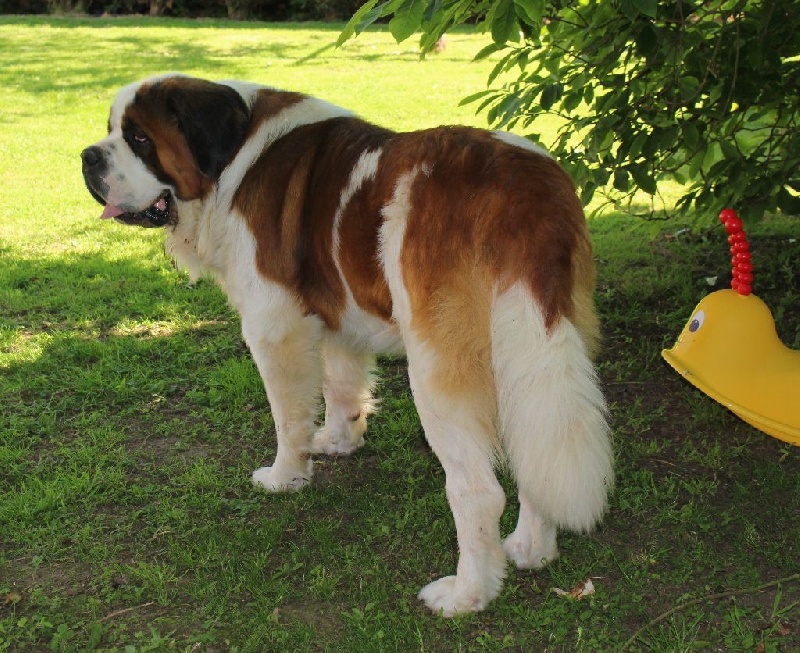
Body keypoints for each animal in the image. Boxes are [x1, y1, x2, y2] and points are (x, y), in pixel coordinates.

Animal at [81, 74, 613, 616]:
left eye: (139, 139)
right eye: (110, 130)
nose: (88, 156)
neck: (234, 160)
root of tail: (522, 189)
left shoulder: (273, 327)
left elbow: (288, 417)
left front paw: (286, 476)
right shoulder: (335, 312)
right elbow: (340, 386)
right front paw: (338, 441)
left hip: (438, 367)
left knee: (478, 490)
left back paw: (467, 594)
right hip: (528, 346)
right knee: (533, 439)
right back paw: (532, 548)